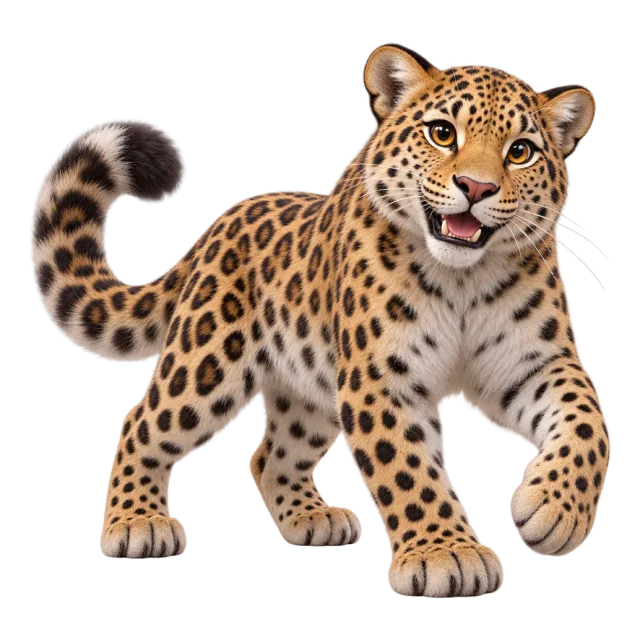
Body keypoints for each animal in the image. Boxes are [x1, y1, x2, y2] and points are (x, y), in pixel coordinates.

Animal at [30, 44, 609, 598]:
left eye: (520, 151)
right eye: (443, 133)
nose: (476, 186)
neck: (461, 279)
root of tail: (219, 224)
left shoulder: (534, 364)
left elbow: (589, 423)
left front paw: (557, 511)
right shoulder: (381, 377)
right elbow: (408, 469)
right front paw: (447, 554)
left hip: (312, 390)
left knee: (268, 456)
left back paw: (314, 518)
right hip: (205, 366)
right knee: (140, 423)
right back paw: (136, 522)